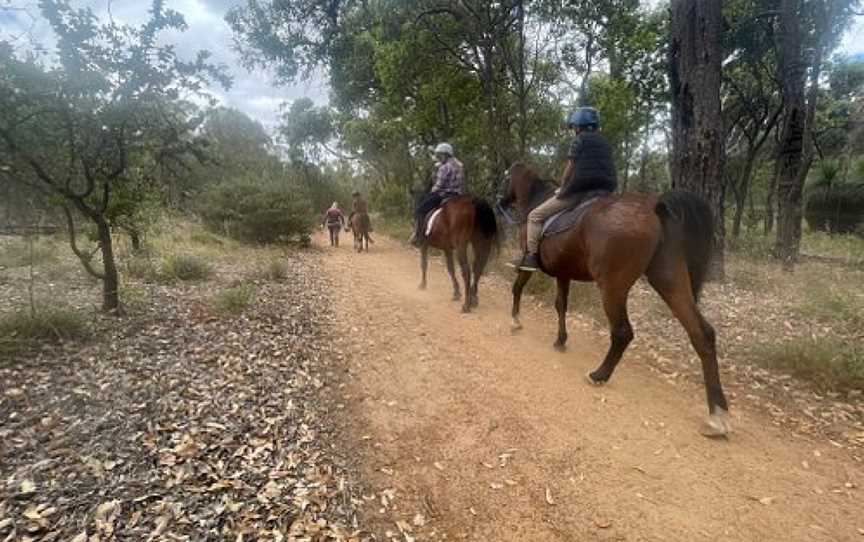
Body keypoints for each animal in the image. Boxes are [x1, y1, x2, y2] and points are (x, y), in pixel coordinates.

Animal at [500, 164, 728, 440]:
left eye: (505, 178)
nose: (501, 200)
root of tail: (654, 207)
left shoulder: (529, 263)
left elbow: (517, 288)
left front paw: (515, 320)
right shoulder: (564, 273)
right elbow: (561, 305)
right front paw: (560, 340)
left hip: (613, 286)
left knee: (622, 332)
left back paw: (599, 374)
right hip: (669, 278)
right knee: (702, 333)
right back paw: (717, 414)